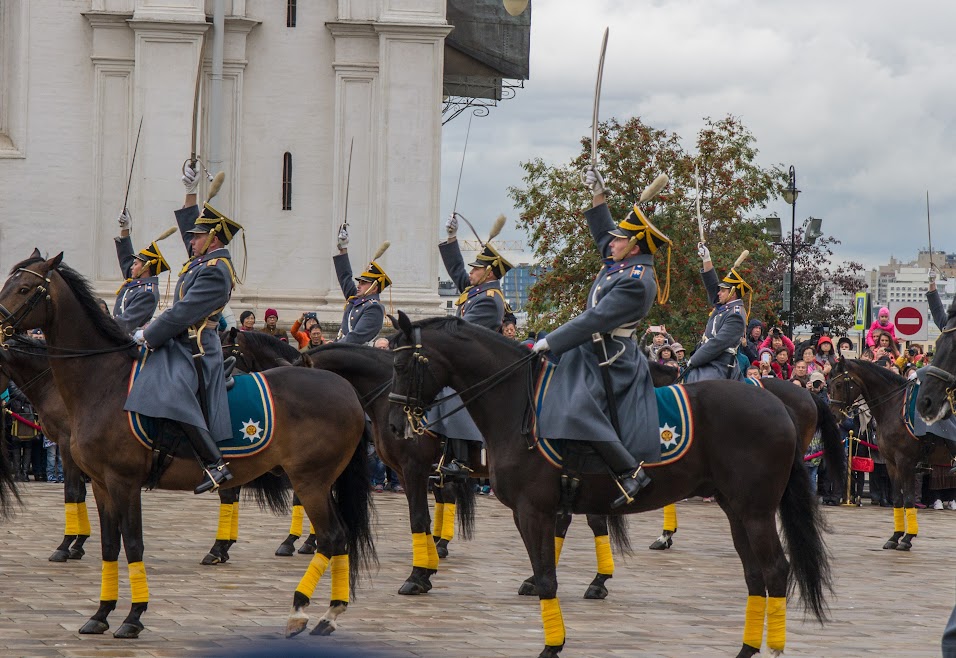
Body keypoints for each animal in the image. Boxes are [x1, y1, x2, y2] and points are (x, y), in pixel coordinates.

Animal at [0, 251, 376, 636]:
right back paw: (327, 611)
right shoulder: (103, 483)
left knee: (333, 536)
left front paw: (133, 616)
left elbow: (132, 543)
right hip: (319, 480)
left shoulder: (122, 480)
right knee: (340, 536)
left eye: (25, 288)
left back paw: (304, 609)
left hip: (311, 479)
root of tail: (346, 390)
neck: (102, 381)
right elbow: (109, 545)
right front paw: (101, 613)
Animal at [384, 312, 832, 656]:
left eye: (403, 367)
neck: (518, 403)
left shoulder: (532, 509)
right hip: (736, 509)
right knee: (754, 574)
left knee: (776, 570)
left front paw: (552, 643)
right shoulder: (556, 504)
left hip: (756, 510)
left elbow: (546, 576)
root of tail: (778, 403)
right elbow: (553, 560)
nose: (393, 426)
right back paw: (746, 648)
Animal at [828, 356, 940, 552]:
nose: (834, 415)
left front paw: (907, 538)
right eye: (829, 383)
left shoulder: (906, 462)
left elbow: (908, 499)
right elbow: (897, 498)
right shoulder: (891, 462)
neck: (893, 406)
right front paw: (895, 536)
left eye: (840, 384)